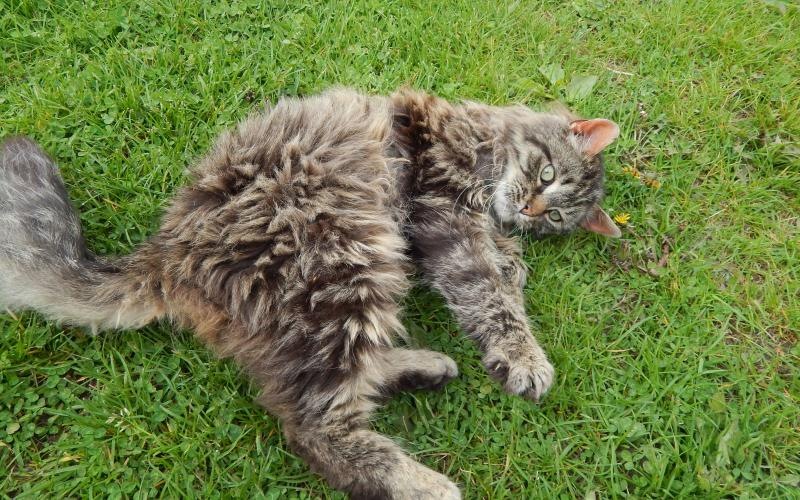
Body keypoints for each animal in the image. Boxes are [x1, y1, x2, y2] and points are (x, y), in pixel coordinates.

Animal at [0, 88, 620, 498]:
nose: (532, 210)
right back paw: (423, 483)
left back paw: (424, 368)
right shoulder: (443, 213)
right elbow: (489, 297)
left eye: (557, 215)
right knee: (313, 426)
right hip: (344, 268)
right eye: (547, 177)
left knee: (343, 381)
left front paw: (514, 261)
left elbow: (504, 273)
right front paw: (522, 355)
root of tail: (169, 251)